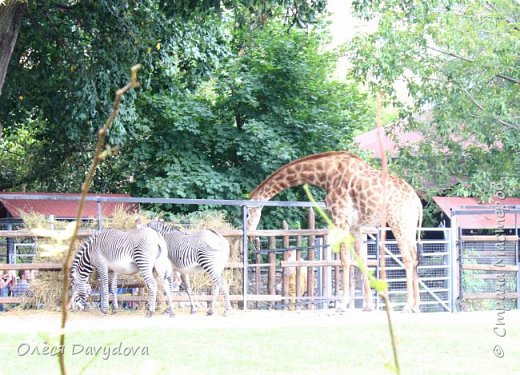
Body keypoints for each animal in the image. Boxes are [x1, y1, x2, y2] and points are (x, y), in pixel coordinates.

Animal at [247, 151, 422, 312]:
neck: (325, 175)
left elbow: (344, 260)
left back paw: (407, 305)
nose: (248, 235)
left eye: (247, 213)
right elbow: (361, 261)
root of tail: (418, 203)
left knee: (408, 258)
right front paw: (368, 306)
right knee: (415, 257)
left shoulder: (340, 219)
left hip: (397, 221)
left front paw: (342, 305)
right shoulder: (355, 226)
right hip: (409, 226)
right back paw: (416, 305)